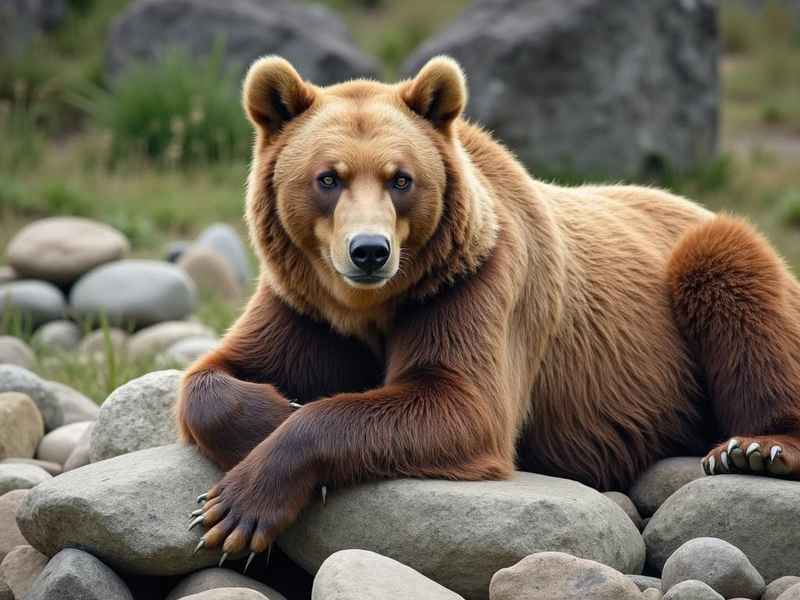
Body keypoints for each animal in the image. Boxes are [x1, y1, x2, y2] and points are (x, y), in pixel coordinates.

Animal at [177, 55, 800, 564]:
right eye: (327, 178)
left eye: (401, 179)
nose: (369, 250)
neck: (371, 307)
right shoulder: (305, 307)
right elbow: (214, 377)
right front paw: (273, 415)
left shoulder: (474, 284)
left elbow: (462, 404)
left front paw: (239, 505)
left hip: (706, 264)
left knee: (734, 278)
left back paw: (755, 448)